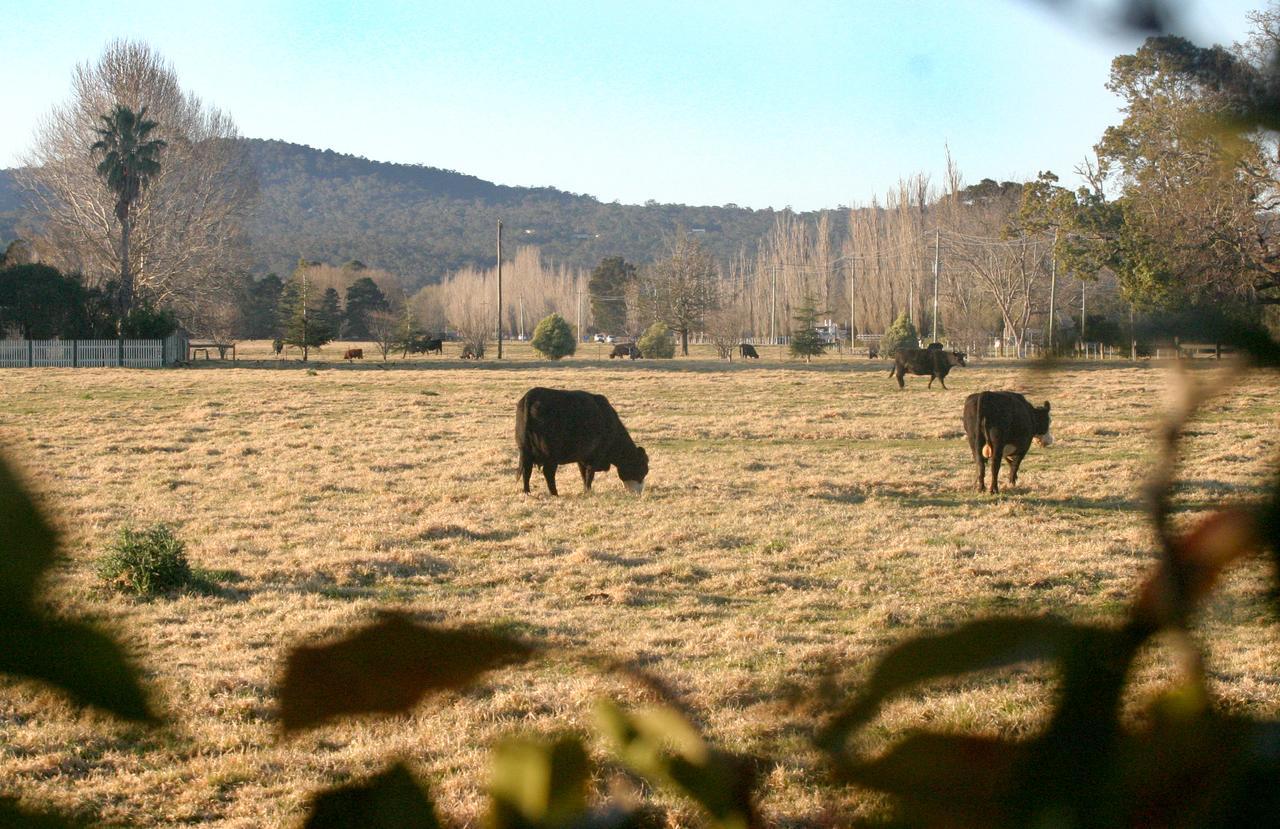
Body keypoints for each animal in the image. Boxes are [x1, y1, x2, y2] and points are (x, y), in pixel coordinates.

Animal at [514, 386, 650, 496]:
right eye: (642, 469)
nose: (640, 493)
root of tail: (531, 395)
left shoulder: (581, 458)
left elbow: (583, 474)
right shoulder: (594, 457)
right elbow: (590, 474)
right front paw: (588, 491)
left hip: (524, 450)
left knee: (526, 471)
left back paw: (527, 492)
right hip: (550, 455)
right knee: (548, 472)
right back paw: (555, 494)